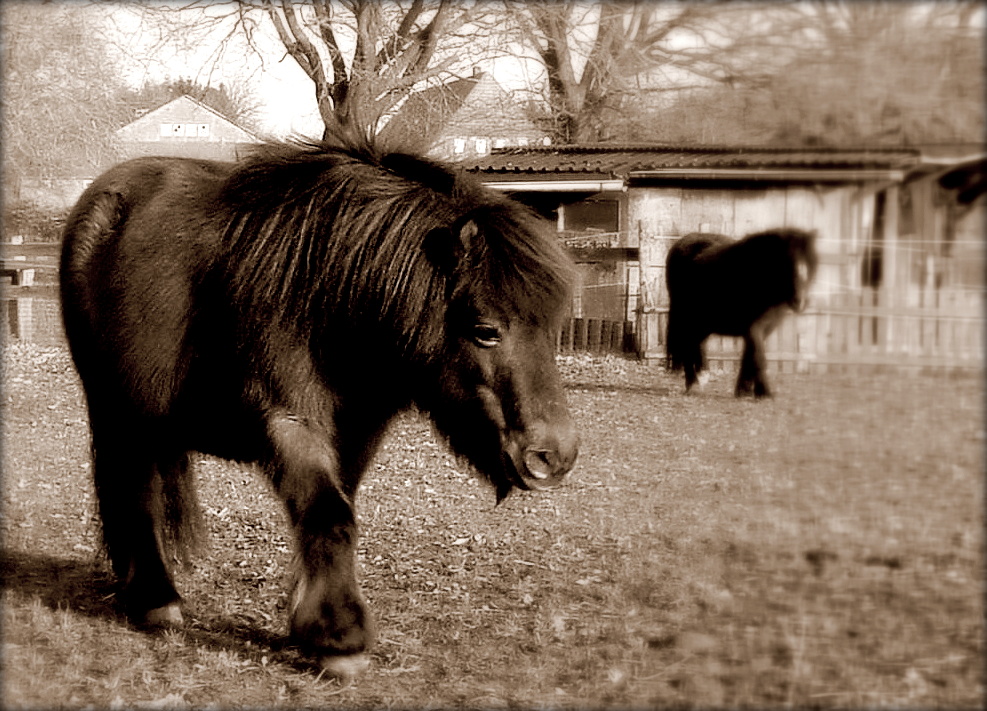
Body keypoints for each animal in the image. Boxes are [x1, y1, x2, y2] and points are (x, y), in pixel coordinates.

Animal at [59, 129, 580, 680]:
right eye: (486, 330)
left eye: (551, 327)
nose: (553, 456)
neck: (328, 297)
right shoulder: (290, 422)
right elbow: (329, 515)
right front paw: (339, 639)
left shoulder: (356, 433)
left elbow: (332, 511)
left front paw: (305, 621)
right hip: (116, 409)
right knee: (133, 490)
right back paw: (154, 599)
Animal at [664, 228, 820, 398]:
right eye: (787, 263)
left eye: (810, 262)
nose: (800, 301)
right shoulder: (753, 326)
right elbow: (758, 357)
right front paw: (763, 392)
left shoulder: (765, 327)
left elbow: (749, 356)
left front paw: (743, 390)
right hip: (686, 314)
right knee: (687, 343)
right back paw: (692, 383)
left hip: (704, 320)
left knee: (695, 342)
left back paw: (701, 376)